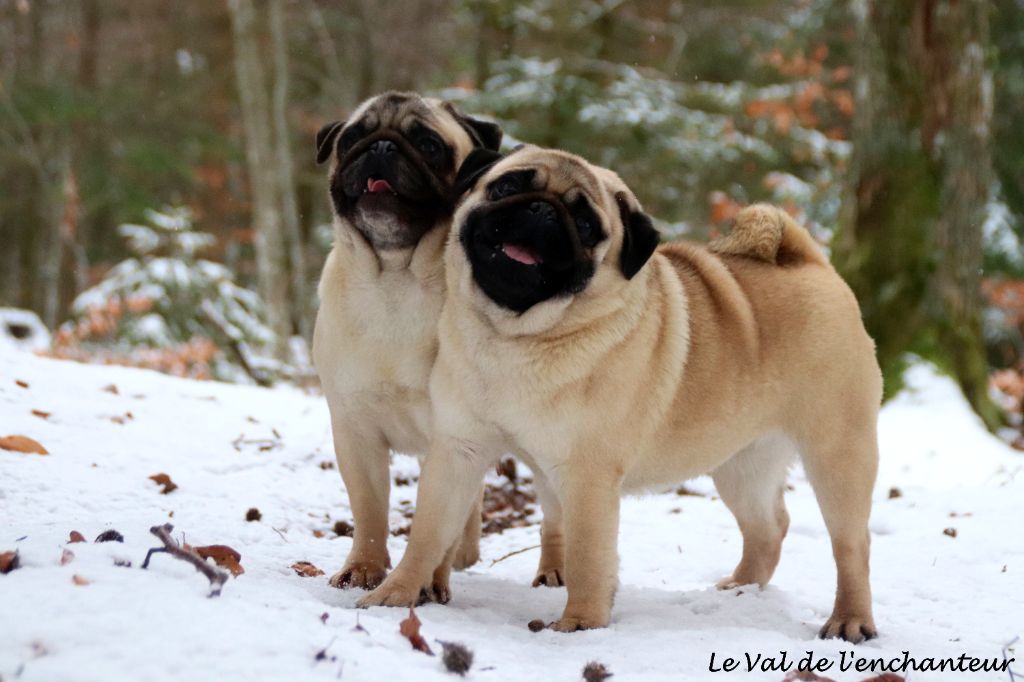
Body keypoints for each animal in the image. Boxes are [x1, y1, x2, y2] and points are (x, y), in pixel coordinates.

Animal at [313, 90, 501, 589]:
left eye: (429, 145)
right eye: (351, 139)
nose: (381, 146)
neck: (395, 281)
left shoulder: (452, 439)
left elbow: (440, 521)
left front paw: (429, 579)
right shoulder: (355, 430)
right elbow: (370, 510)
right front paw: (363, 567)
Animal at [358, 146, 880, 638]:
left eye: (588, 225)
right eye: (507, 186)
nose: (541, 210)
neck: (517, 337)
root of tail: (811, 263)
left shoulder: (587, 475)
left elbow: (588, 555)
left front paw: (581, 625)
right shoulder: (459, 451)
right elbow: (427, 533)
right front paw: (394, 594)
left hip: (837, 455)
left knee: (851, 546)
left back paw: (849, 621)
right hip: (741, 464)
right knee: (768, 529)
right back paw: (741, 589)